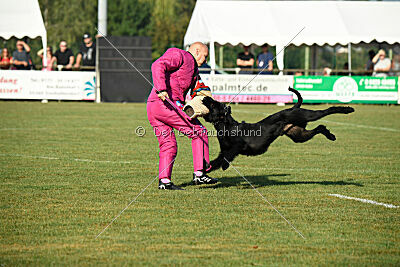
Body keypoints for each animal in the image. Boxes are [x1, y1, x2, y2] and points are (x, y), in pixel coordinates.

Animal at [202, 87, 354, 173]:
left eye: (214, 104)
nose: (205, 98)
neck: (226, 125)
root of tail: (293, 107)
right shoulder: (223, 152)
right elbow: (214, 162)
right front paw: (203, 171)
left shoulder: (237, 146)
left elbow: (227, 157)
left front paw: (224, 166)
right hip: (299, 135)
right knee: (320, 127)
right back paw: (330, 135)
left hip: (308, 115)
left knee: (326, 111)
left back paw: (347, 109)